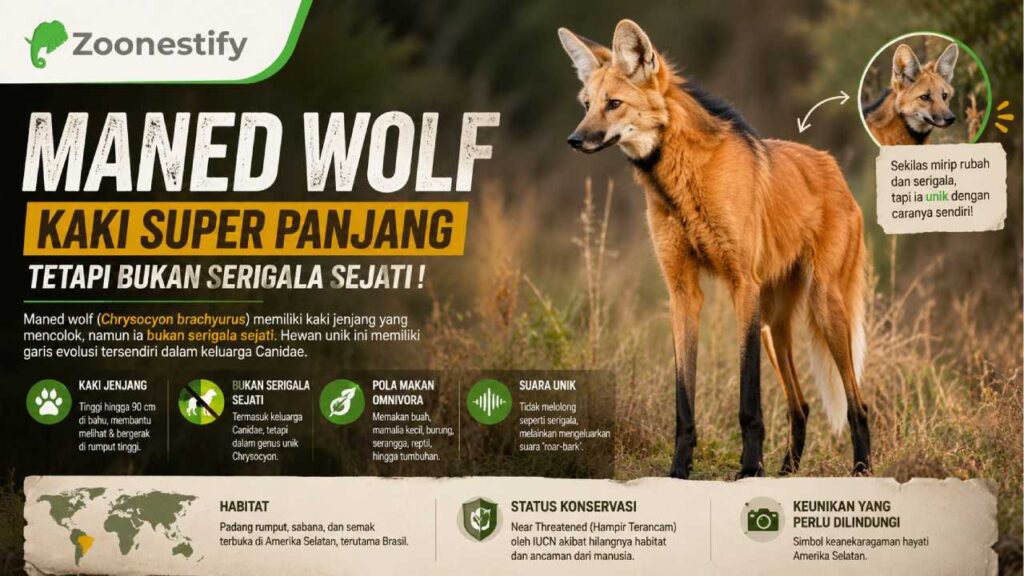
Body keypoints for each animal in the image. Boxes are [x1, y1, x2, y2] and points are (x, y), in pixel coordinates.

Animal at [559, 20, 870, 478]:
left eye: (614, 104)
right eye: (586, 104)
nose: (575, 139)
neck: (681, 185)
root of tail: (834, 168)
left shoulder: (742, 285)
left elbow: (748, 399)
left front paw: (749, 470)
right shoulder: (683, 293)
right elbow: (683, 399)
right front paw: (679, 471)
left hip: (823, 307)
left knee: (857, 403)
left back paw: (862, 469)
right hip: (773, 324)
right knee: (801, 404)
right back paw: (788, 471)